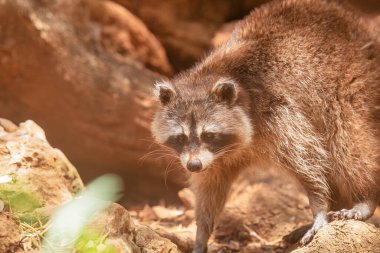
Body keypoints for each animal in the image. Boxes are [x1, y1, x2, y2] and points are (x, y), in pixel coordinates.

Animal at [150, 0, 380, 252]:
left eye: (209, 135)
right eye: (180, 138)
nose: (193, 166)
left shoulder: (278, 111)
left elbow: (309, 161)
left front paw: (319, 207)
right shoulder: (214, 159)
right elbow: (210, 187)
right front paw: (201, 234)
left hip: (356, 83)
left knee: (348, 140)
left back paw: (366, 197)